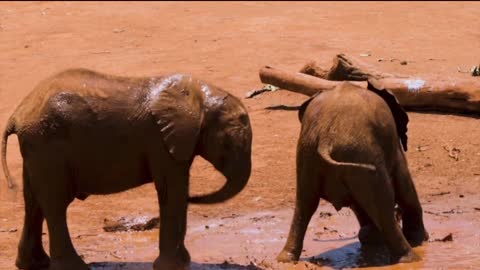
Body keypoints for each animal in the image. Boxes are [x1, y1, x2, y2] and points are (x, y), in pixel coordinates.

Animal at [276, 81, 430, 264]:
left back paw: (284, 259)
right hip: (359, 152)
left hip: (309, 153)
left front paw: (372, 238)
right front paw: (419, 239)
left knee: (304, 204)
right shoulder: (393, 146)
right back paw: (411, 259)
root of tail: (326, 139)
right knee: (382, 203)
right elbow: (404, 187)